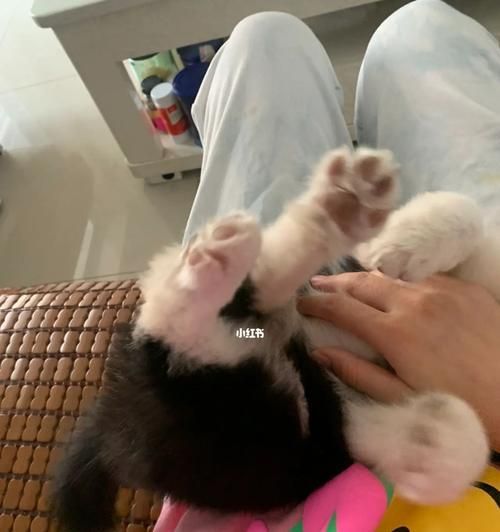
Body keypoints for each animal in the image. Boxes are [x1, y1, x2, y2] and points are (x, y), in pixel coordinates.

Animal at [51, 147, 490, 532]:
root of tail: (110, 414)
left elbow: (463, 442)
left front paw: (426, 437)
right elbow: (469, 213)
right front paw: (405, 238)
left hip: (250, 452)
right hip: (236, 450)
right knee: (242, 299)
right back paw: (339, 206)